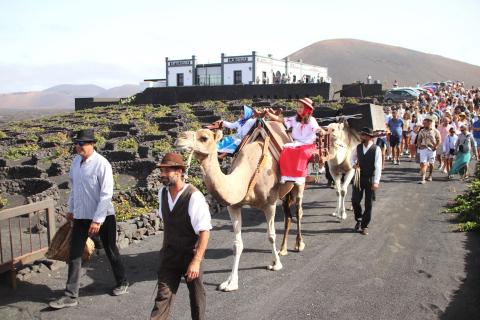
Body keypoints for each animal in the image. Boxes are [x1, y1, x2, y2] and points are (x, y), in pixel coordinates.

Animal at [176, 122, 308, 290]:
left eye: (204, 137)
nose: (179, 139)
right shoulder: (234, 206)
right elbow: (237, 245)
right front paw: (230, 282)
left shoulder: (270, 204)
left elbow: (271, 236)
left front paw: (276, 264)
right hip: (285, 193)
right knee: (288, 215)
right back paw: (283, 249)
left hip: (299, 181)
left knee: (298, 210)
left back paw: (299, 244)